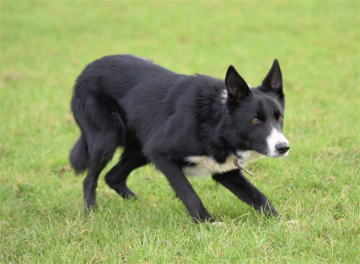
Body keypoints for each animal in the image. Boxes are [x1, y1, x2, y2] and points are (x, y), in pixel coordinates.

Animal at [69, 55, 290, 223]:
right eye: (255, 120)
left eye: (279, 118)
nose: (283, 148)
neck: (216, 121)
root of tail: (86, 70)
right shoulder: (161, 154)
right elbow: (190, 194)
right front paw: (207, 223)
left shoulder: (224, 170)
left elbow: (258, 197)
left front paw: (281, 222)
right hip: (106, 140)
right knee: (90, 180)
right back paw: (91, 214)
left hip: (140, 150)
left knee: (113, 177)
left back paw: (140, 205)